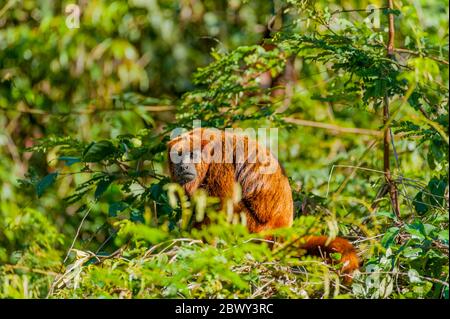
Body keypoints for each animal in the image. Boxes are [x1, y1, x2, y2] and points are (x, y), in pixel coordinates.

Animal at [167, 127, 360, 280]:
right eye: (178, 155)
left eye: (192, 155)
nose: (183, 166)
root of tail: (282, 232)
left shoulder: (221, 163)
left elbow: (221, 206)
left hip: (257, 231)